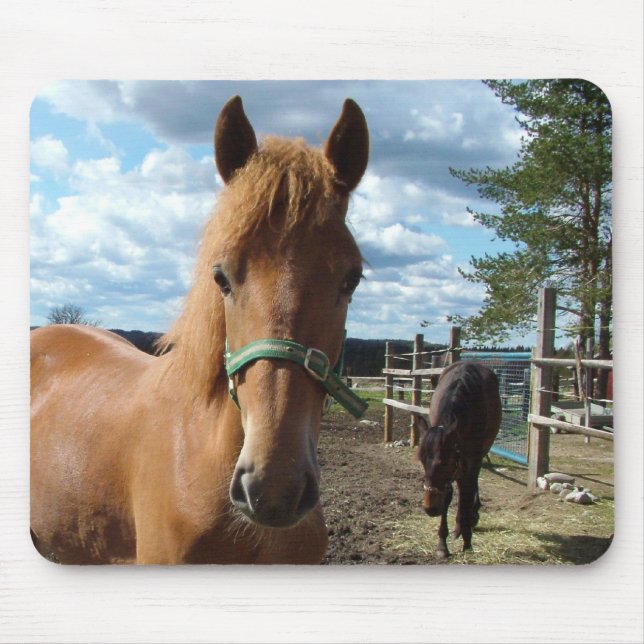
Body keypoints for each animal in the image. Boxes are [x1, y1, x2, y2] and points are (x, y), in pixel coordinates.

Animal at [417, 361, 501, 558]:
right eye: (421, 461)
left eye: (445, 462)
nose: (430, 508)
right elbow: (448, 497)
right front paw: (442, 544)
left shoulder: (470, 460)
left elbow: (465, 494)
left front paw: (467, 541)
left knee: (469, 487)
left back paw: (470, 519)